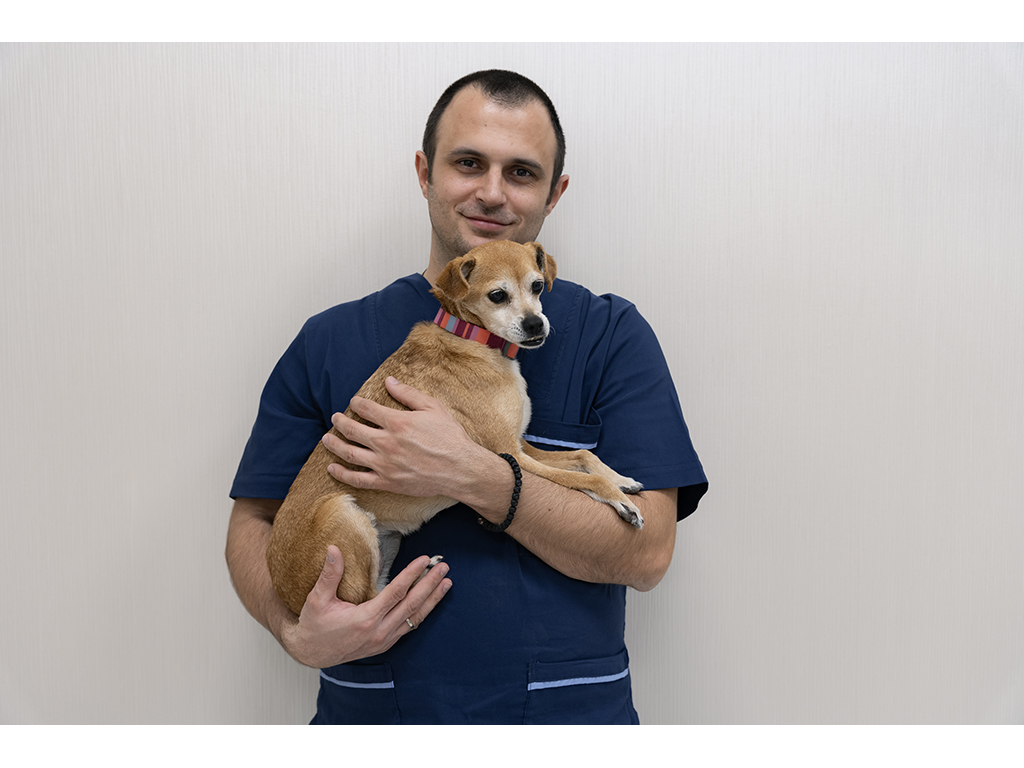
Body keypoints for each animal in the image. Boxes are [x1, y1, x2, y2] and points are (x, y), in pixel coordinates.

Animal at [267, 240, 644, 614]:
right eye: (497, 295)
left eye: (537, 285)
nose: (536, 324)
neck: (472, 338)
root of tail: (288, 596)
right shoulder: (513, 457)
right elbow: (583, 479)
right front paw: (620, 500)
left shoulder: (521, 446)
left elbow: (583, 456)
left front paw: (621, 480)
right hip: (342, 514)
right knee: (369, 602)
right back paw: (416, 584)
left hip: (385, 538)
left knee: (381, 591)